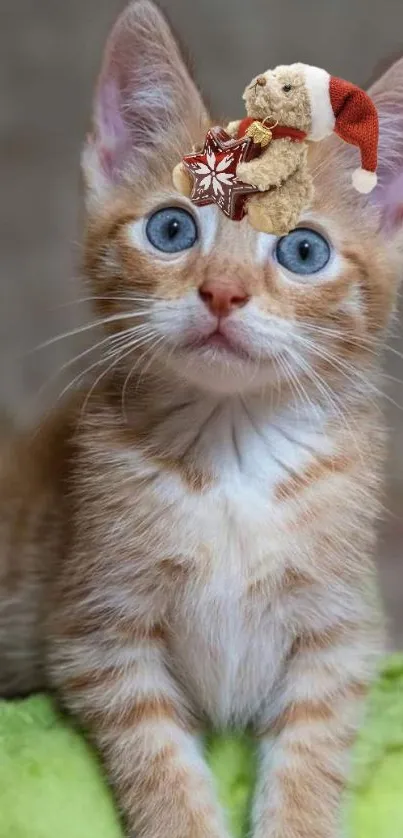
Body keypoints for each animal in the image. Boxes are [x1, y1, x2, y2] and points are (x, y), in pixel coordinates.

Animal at [0, 1, 403, 838]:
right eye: (172, 230)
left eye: (303, 250)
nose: (222, 292)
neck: (232, 456)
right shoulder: (99, 635)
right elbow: (160, 766)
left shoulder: (338, 636)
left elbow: (310, 758)